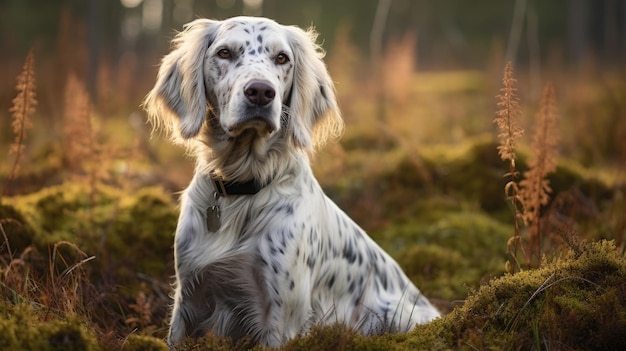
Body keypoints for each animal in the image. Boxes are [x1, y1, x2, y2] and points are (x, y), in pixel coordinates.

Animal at [143, 15, 438, 346]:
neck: (243, 186)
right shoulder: (189, 297)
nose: (260, 92)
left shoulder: (283, 316)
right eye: (224, 53)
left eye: (282, 58)